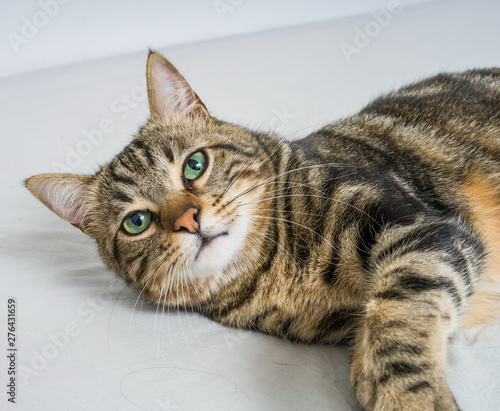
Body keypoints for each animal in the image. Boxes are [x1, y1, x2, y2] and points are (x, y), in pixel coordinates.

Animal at [26, 52, 500, 411]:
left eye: (194, 164)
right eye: (136, 222)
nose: (188, 219)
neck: (277, 270)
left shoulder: (420, 227)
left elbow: (398, 322)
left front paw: (408, 398)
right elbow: (378, 326)